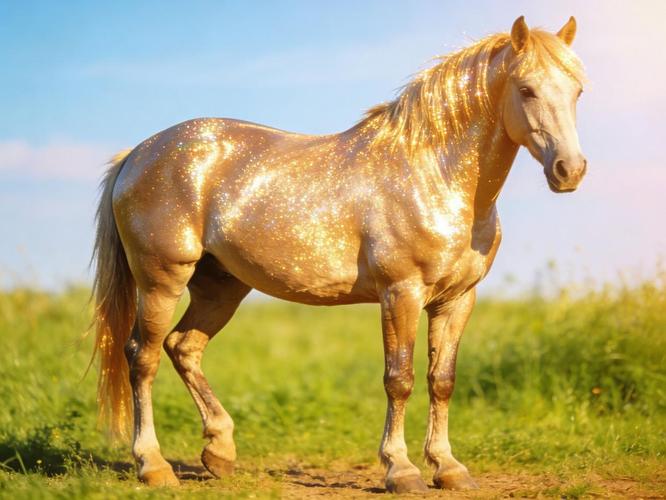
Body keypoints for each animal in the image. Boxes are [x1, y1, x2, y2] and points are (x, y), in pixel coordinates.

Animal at [90, 16, 587, 493]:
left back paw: (219, 452)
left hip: (221, 288)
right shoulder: (401, 294)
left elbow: (441, 381)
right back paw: (153, 466)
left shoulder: (457, 300)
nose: (570, 170)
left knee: (184, 347)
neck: (434, 176)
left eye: (578, 90)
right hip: (162, 281)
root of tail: (136, 154)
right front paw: (401, 470)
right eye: (527, 89)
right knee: (143, 357)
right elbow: (399, 380)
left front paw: (449, 468)